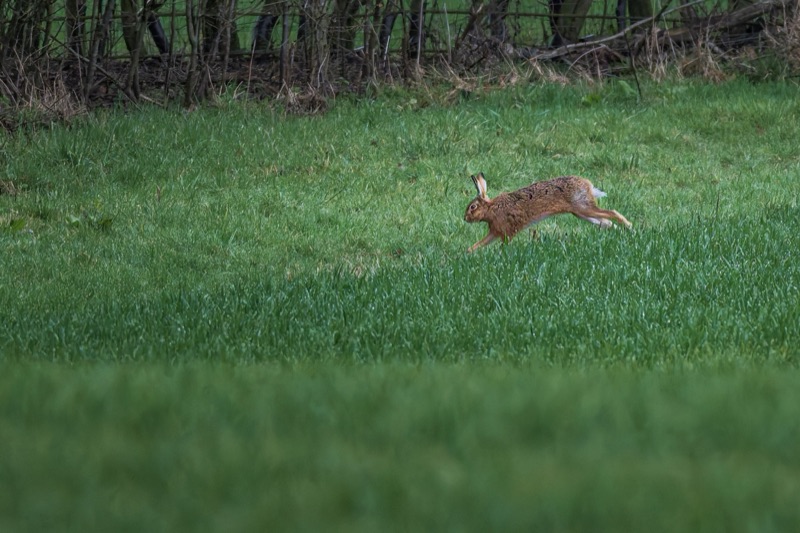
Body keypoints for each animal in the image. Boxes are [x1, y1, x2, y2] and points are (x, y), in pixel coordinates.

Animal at [464, 172, 632, 252]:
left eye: (472, 207)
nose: (465, 218)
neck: (491, 208)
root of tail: (588, 184)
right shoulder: (495, 231)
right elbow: (479, 244)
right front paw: (468, 252)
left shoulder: (506, 230)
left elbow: (505, 244)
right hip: (581, 213)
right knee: (606, 222)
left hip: (583, 207)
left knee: (612, 213)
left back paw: (629, 227)